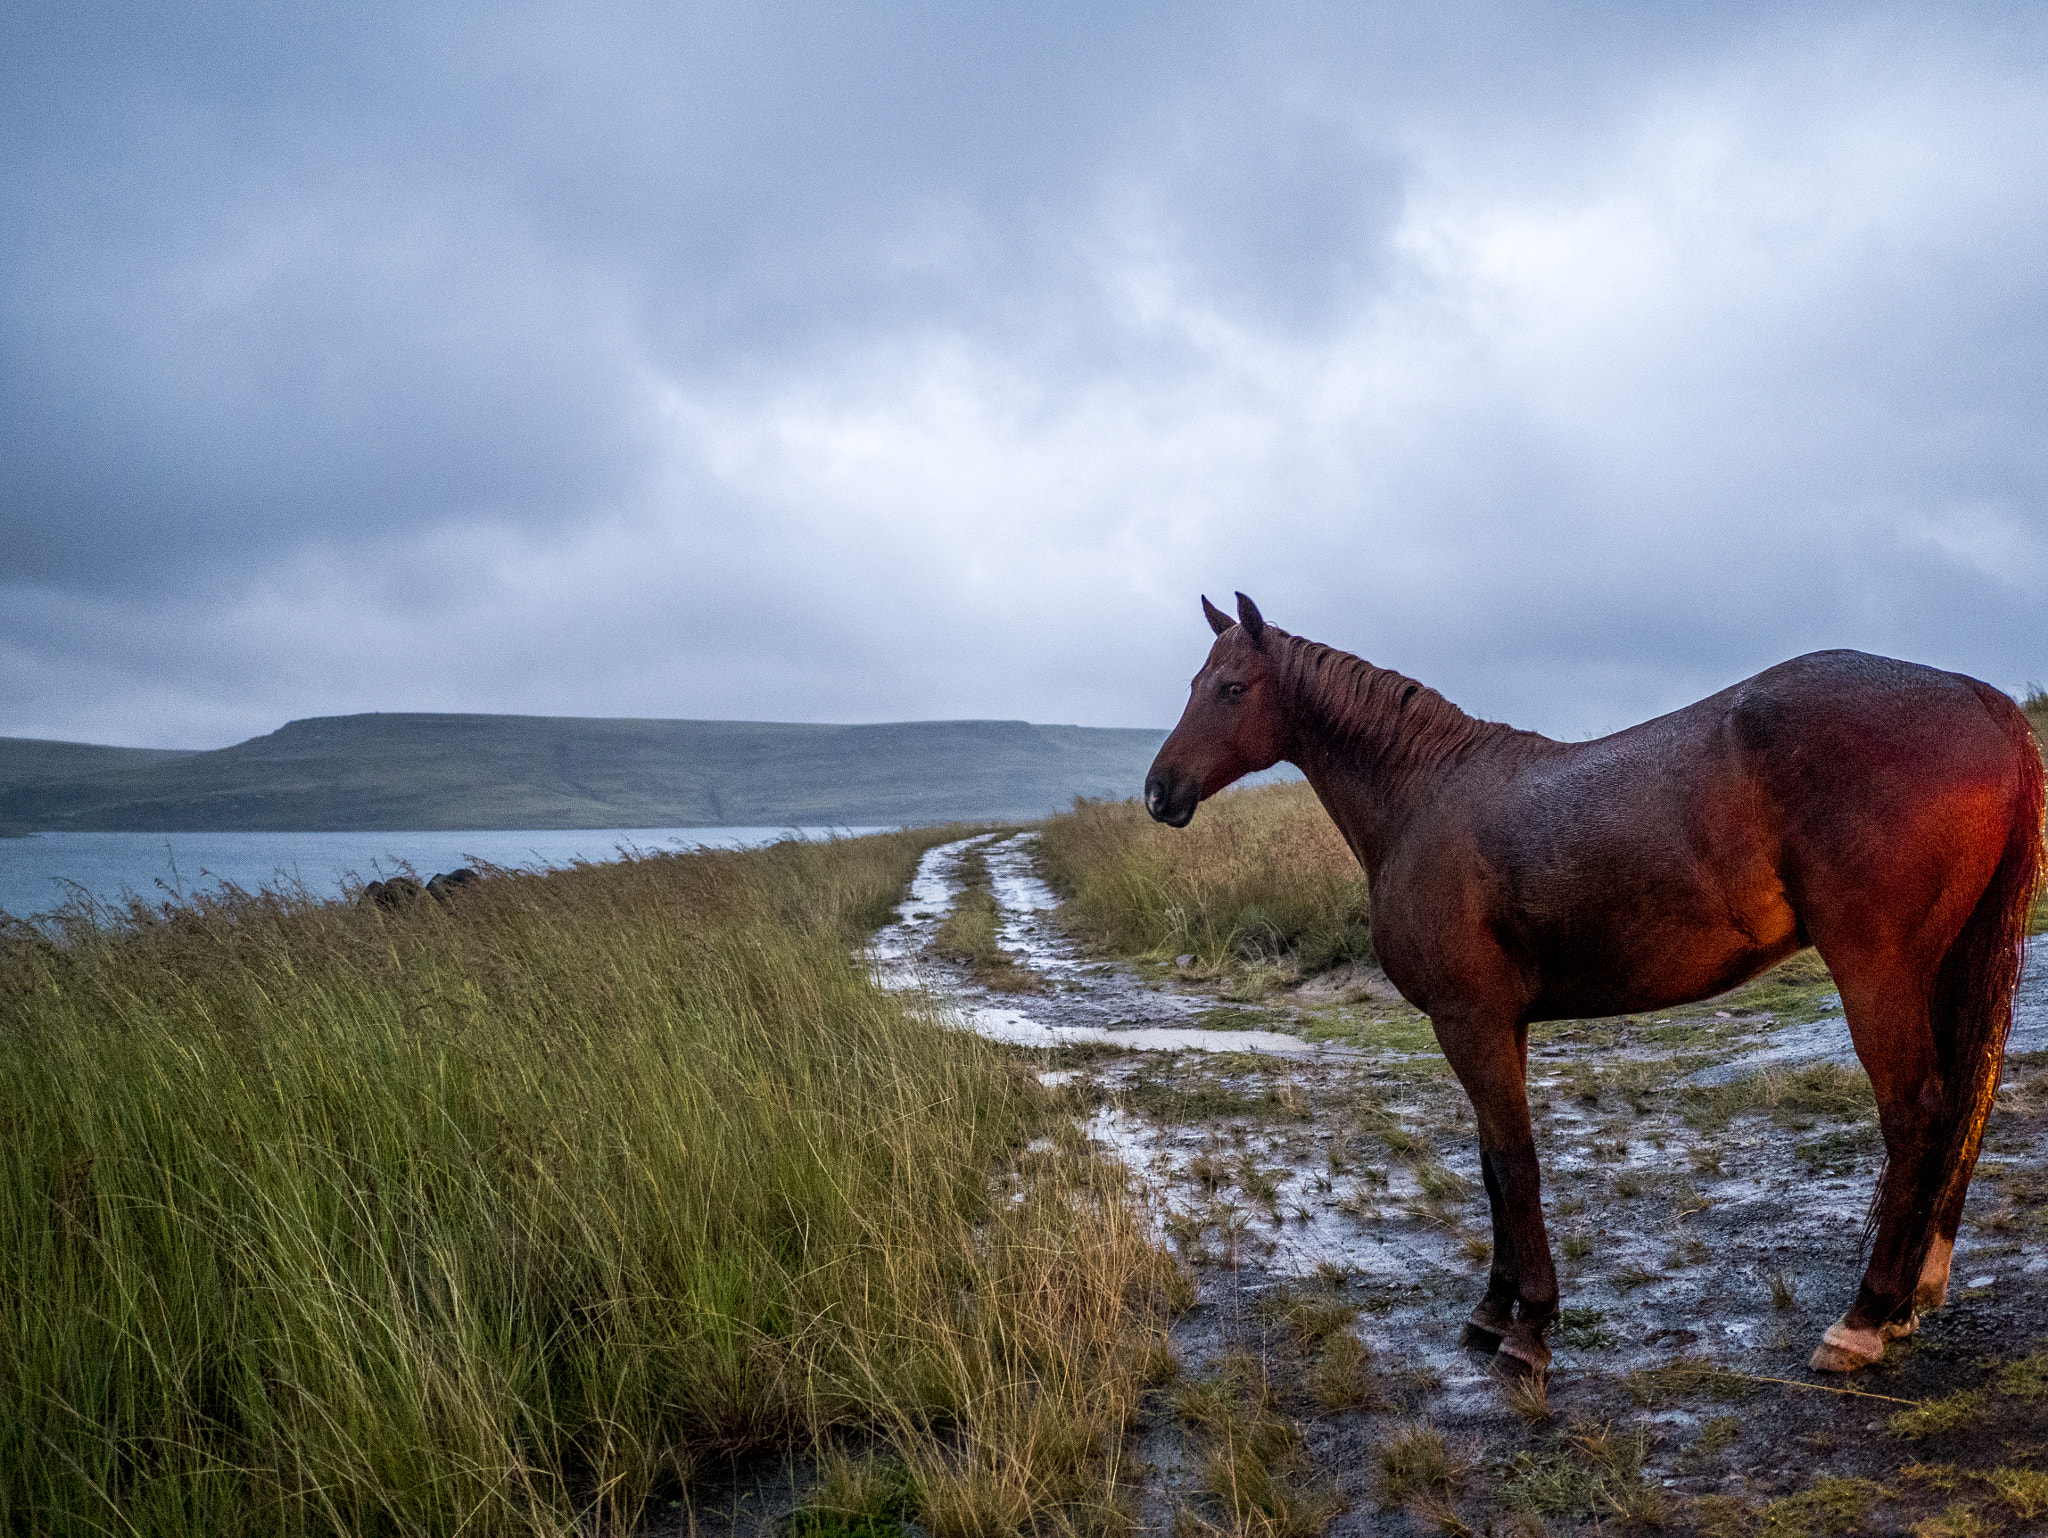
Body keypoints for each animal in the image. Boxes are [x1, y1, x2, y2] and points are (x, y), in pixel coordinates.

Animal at [1146, 593, 2039, 1376]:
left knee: (1917, 1115)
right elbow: (1490, 1163)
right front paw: (1491, 1310)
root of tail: (1978, 697)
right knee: (1961, 1108)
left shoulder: (1468, 1020)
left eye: (1232, 688)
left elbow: (1515, 1164)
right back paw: (1910, 1300)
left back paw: (1862, 1320)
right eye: (1192, 683)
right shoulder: (1497, 1025)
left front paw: (1529, 1331)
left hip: (1875, 968)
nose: (1159, 791)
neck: (1425, 797)